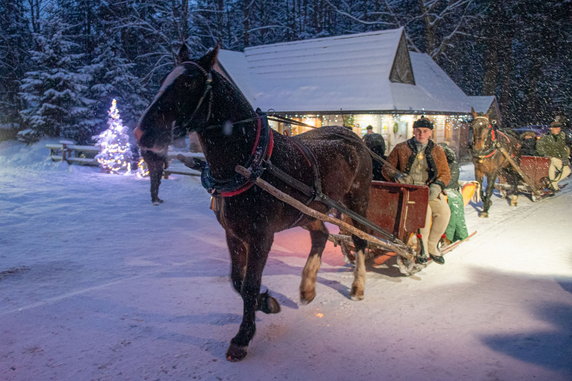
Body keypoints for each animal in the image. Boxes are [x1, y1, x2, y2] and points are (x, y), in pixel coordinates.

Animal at [136, 46, 374, 360]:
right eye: (165, 78)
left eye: (188, 82)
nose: (142, 133)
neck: (249, 160)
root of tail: (351, 135)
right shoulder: (234, 234)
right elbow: (237, 281)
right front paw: (267, 303)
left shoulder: (261, 236)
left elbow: (249, 285)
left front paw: (242, 337)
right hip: (309, 211)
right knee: (321, 235)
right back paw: (307, 287)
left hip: (356, 202)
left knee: (360, 240)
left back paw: (358, 286)